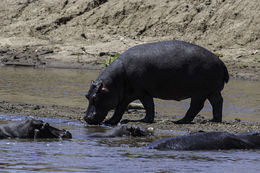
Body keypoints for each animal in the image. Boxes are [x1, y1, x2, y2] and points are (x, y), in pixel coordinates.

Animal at [84, 40, 229, 125]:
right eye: (87, 96)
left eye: (95, 97)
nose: (86, 118)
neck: (113, 83)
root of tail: (221, 62)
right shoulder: (126, 95)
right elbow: (120, 108)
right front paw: (111, 121)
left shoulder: (142, 92)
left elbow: (149, 105)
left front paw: (145, 120)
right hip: (212, 91)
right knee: (217, 102)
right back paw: (214, 120)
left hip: (199, 92)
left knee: (196, 106)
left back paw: (180, 121)